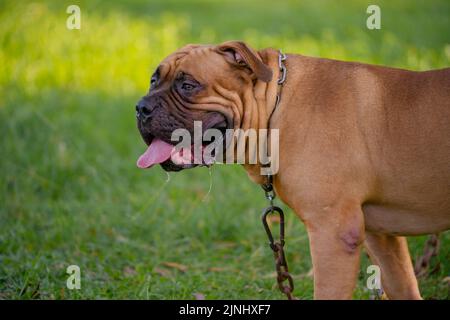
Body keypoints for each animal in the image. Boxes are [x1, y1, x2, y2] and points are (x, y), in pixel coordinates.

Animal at [137, 41, 450, 298]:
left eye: (188, 85)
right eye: (153, 80)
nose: (141, 108)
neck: (276, 107)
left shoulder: (334, 233)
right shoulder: (382, 237)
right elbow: (403, 285)